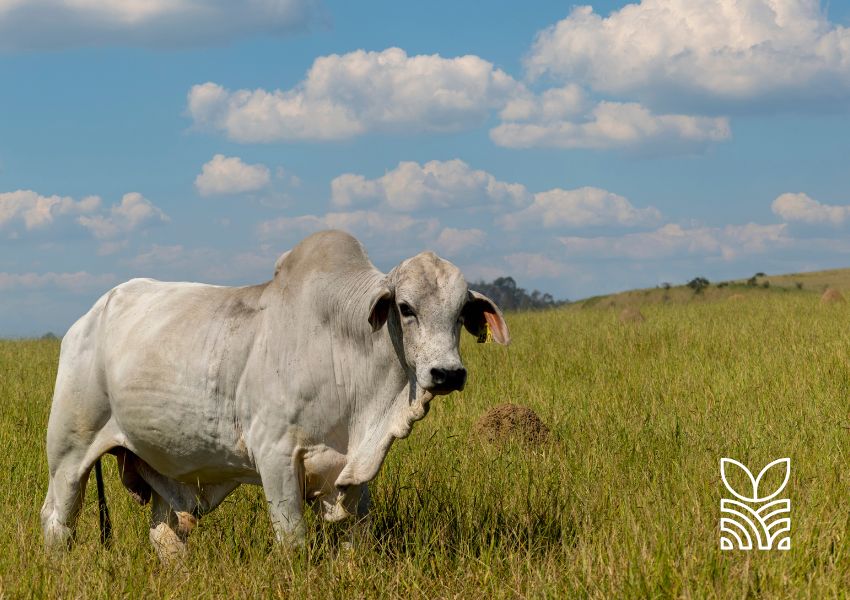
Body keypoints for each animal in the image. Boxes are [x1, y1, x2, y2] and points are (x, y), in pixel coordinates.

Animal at [39, 230, 506, 556]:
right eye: (406, 308)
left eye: (461, 312)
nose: (447, 373)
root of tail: (88, 317)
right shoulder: (276, 456)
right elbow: (293, 540)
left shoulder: (355, 470)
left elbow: (357, 539)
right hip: (69, 451)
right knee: (58, 520)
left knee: (166, 535)